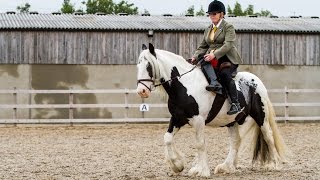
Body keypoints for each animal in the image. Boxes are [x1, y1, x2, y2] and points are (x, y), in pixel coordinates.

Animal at [136, 43, 286, 177]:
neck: (186, 85)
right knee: (236, 141)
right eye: (138, 65)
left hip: (261, 116)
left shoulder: (198, 120)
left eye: (148, 66)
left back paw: (274, 165)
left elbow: (200, 144)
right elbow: (167, 138)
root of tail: (256, 80)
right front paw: (177, 165)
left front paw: (203, 171)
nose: (141, 91)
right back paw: (227, 166)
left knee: (268, 136)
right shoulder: (178, 118)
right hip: (232, 122)